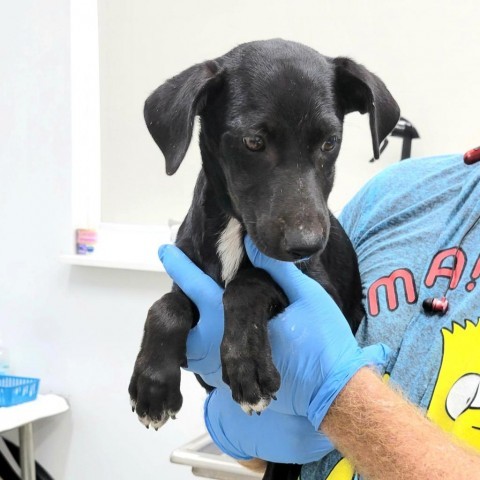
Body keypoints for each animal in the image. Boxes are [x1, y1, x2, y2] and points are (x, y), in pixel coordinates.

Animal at [127, 39, 398, 478]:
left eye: (330, 142)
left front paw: (247, 364)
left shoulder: (322, 293)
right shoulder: (188, 277)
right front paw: (153, 386)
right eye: (253, 142)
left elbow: (248, 282)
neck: (235, 231)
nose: (307, 245)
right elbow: (164, 306)